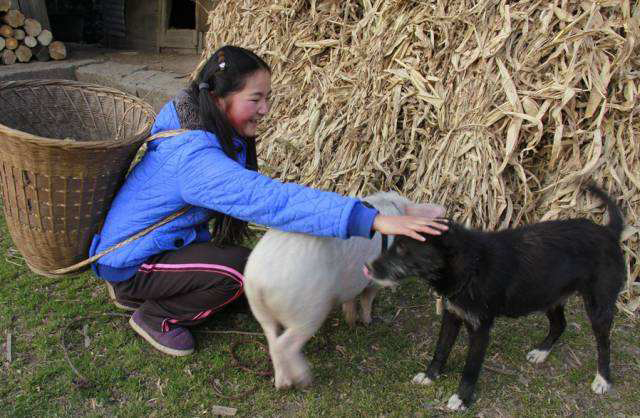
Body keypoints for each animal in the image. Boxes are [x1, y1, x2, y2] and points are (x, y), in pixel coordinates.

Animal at [364, 185, 624, 410]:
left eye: (403, 250)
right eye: (393, 244)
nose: (367, 267)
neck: (471, 266)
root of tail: (608, 232)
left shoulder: (480, 329)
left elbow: (470, 368)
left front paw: (462, 398)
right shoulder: (452, 315)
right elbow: (441, 349)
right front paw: (430, 375)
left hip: (598, 306)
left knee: (604, 343)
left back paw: (603, 379)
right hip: (549, 295)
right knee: (560, 324)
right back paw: (541, 352)